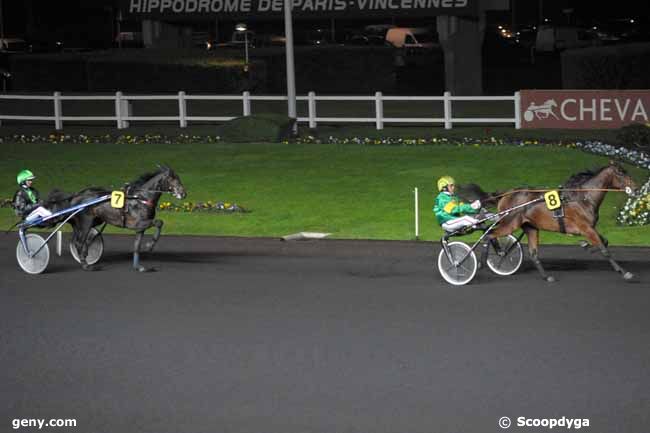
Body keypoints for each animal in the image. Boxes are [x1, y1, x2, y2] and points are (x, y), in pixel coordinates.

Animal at [466, 160, 636, 282]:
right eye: (621, 173)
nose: (635, 188)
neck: (582, 198)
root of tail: (506, 194)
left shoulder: (589, 228)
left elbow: (604, 242)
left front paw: (586, 245)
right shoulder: (585, 227)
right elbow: (604, 248)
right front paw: (624, 273)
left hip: (530, 227)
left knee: (533, 253)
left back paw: (546, 276)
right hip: (509, 223)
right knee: (489, 235)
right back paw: (482, 262)